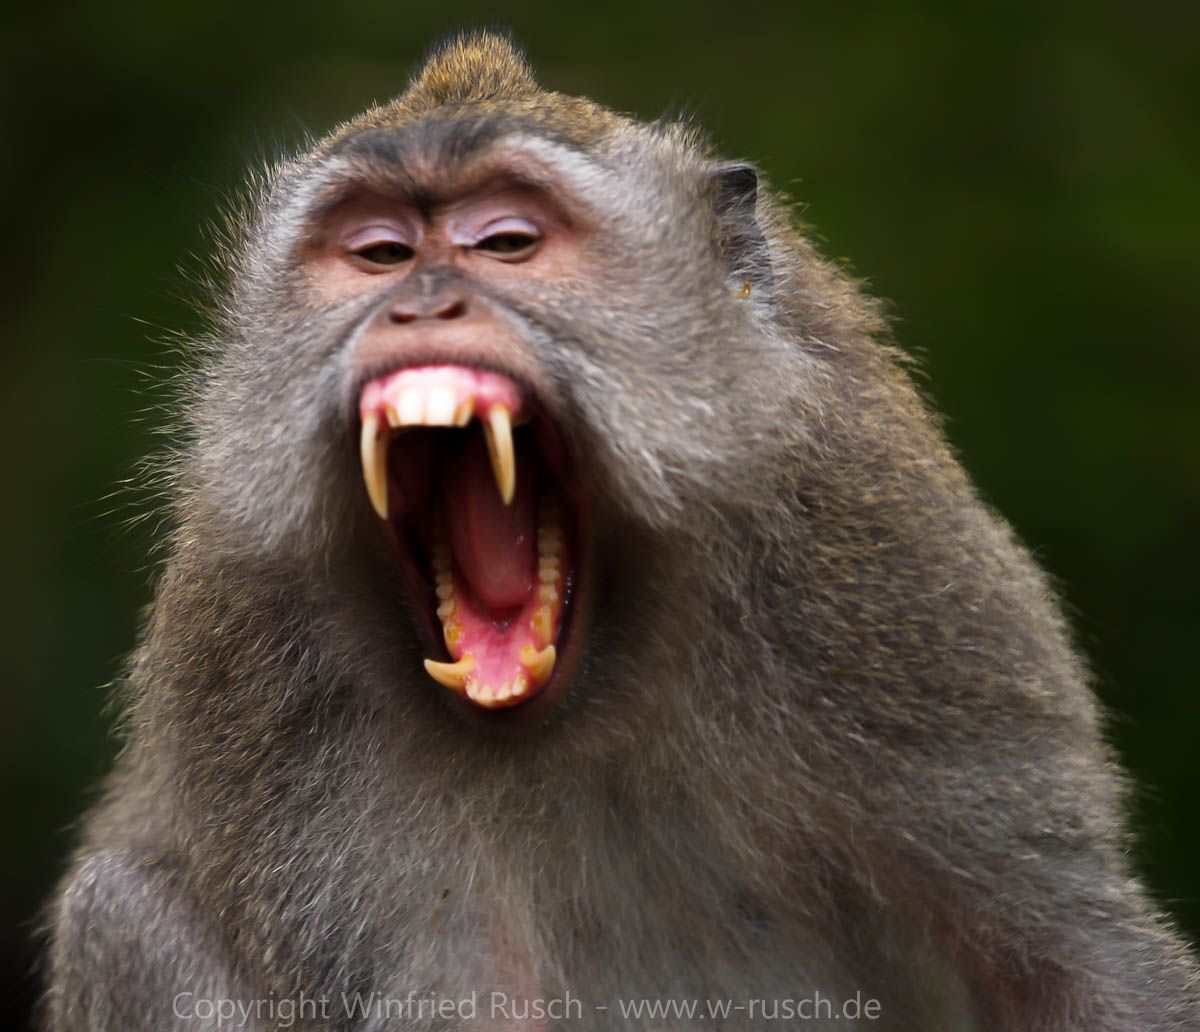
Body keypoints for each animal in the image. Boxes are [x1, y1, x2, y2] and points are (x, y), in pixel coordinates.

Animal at [41, 30, 1198, 1032]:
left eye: (506, 243)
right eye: (377, 253)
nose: (419, 304)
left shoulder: (886, 568)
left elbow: (1071, 955)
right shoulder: (258, 655)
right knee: (120, 912)